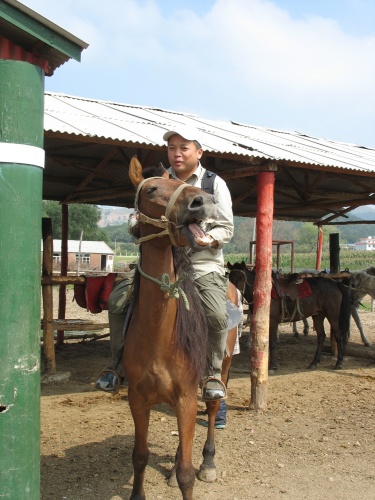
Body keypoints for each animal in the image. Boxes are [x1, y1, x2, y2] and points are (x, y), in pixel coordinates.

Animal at [124, 157, 229, 500]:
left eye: (181, 184)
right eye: (152, 189)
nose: (203, 201)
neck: (158, 336)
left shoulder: (185, 398)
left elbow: (186, 474)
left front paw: (189, 471)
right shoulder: (138, 399)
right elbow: (140, 456)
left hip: (218, 374)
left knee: (212, 409)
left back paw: (208, 462)